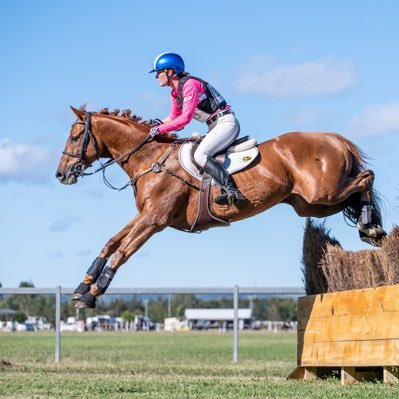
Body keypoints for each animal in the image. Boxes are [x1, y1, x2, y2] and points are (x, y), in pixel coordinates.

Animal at [55, 106, 388, 310]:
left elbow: (122, 252)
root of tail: (334, 137)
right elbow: (110, 243)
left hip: (323, 192)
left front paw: (92, 295)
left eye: (75, 136)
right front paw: (83, 286)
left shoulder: (154, 220)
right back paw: (370, 226)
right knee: (356, 191)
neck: (151, 157)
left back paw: (370, 225)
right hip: (310, 204)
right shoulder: (144, 216)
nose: (60, 174)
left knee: (366, 178)